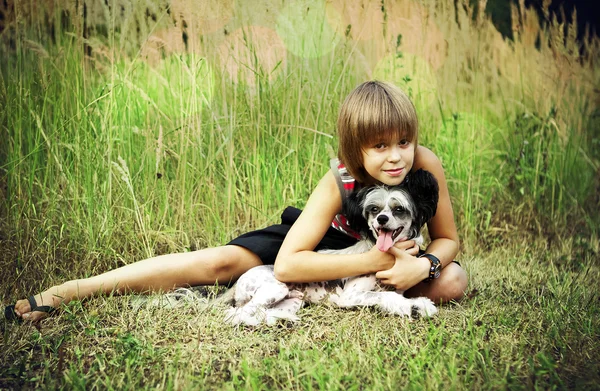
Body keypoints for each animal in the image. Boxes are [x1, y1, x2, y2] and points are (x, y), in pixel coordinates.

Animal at [225, 170, 440, 326]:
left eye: (399, 209)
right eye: (374, 209)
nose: (382, 219)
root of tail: (239, 281)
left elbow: (394, 298)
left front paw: (417, 306)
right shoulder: (351, 296)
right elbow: (385, 295)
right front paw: (415, 307)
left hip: (292, 301)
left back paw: (283, 320)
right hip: (275, 288)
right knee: (236, 314)